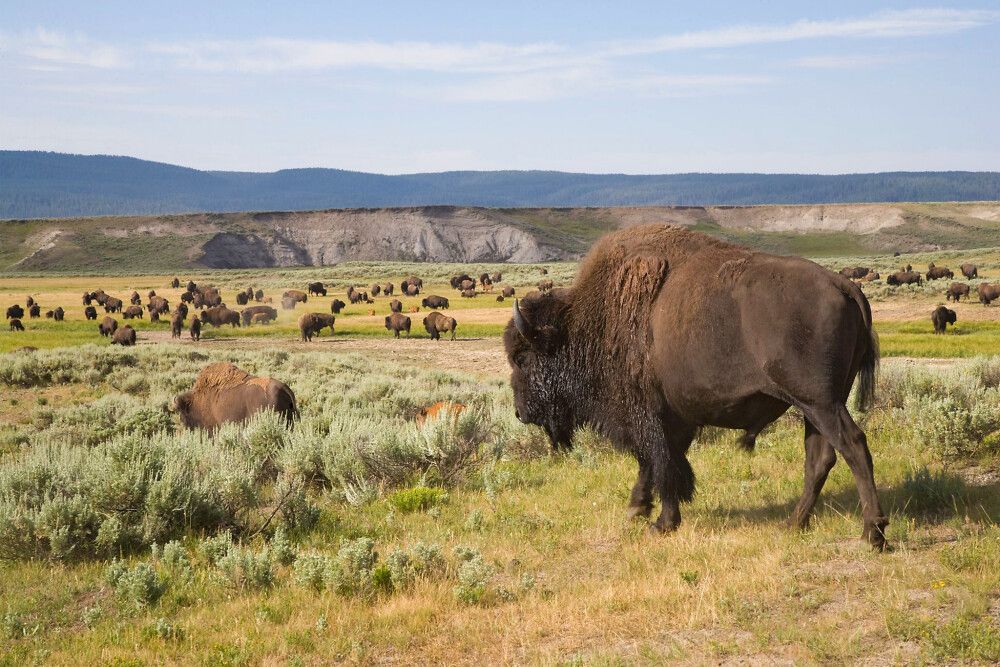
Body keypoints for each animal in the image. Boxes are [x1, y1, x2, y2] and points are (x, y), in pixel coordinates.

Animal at [504, 227, 888, 552]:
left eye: (522, 357)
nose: (520, 412)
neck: (590, 321)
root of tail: (844, 285)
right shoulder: (675, 417)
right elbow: (661, 463)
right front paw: (637, 510)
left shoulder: (649, 416)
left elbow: (660, 463)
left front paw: (661, 522)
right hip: (815, 407)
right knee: (819, 457)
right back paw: (795, 524)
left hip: (820, 402)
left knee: (853, 446)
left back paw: (873, 533)